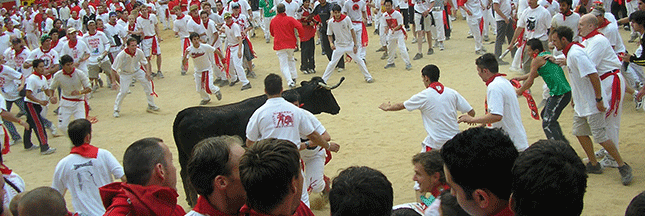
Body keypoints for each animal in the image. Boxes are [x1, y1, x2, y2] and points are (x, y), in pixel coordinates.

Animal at [170, 76, 342, 206]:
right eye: (326, 94)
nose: (338, 108)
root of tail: (185, 113)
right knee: (188, 177)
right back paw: (193, 201)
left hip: (183, 156)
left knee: (183, 173)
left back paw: (189, 200)